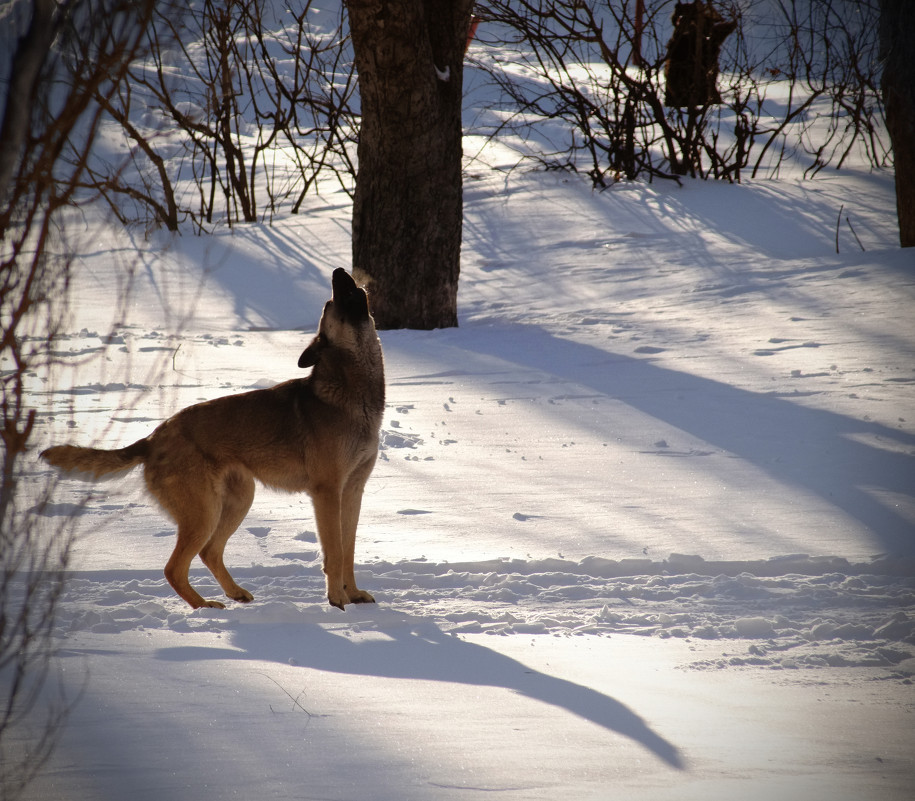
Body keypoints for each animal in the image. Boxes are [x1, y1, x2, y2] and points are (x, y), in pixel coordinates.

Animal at [42, 266, 386, 608]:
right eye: (331, 304)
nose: (338, 271)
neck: (351, 391)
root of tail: (153, 439)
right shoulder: (327, 492)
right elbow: (335, 552)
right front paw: (337, 599)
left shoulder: (352, 491)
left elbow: (349, 550)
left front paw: (353, 593)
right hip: (204, 514)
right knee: (174, 568)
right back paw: (204, 607)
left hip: (238, 500)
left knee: (209, 552)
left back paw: (233, 593)